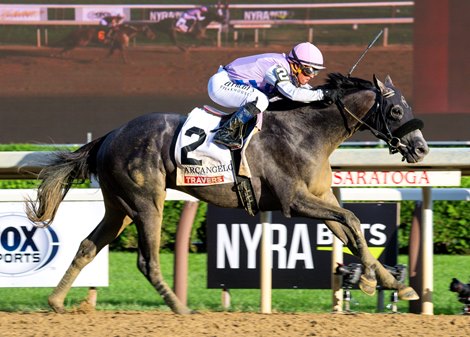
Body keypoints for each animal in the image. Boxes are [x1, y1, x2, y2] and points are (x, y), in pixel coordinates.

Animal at [26, 73, 430, 312]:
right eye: (396, 110)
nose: (422, 148)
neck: (306, 132)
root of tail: (109, 136)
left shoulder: (322, 198)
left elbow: (352, 230)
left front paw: (394, 284)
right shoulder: (294, 201)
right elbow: (352, 220)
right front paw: (371, 280)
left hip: (119, 207)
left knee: (87, 246)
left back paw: (56, 302)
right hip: (146, 204)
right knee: (147, 260)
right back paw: (181, 308)